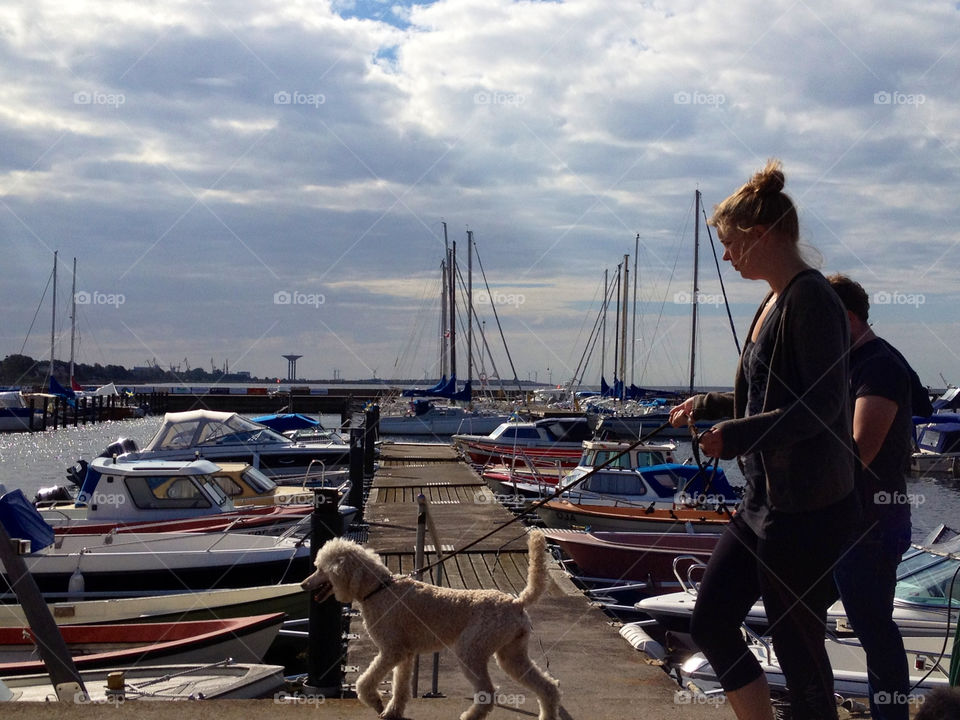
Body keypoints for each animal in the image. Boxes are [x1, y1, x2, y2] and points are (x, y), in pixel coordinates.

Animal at [302, 528, 564, 720]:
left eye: (321, 568)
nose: (304, 584)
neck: (378, 589)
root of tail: (516, 602)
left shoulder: (391, 651)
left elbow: (364, 682)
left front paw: (375, 701)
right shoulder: (405, 655)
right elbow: (400, 687)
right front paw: (392, 711)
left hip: (471, 651)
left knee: (488, 693)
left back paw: (470, 717)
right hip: (511, 654)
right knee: (547, 687)